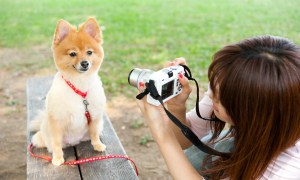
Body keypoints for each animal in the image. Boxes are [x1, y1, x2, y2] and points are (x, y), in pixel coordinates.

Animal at [30, 18, 106, 166]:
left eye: (89, 52)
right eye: (72, 54)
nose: (85, 63)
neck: (80, 85)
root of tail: (75, 142)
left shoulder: (94, 116)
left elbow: (94, 133)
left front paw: (97, 145)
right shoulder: (57, 120)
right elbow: (56, 142)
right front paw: (58, 158)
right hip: (42, 135)